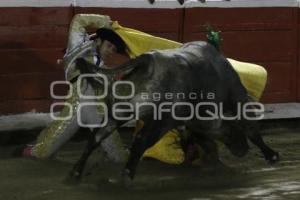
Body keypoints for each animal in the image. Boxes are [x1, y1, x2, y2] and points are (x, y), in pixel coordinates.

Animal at [68, 40, 278, 184]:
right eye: (232, 129)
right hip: (159, 122)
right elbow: (251, 130)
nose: (242, 150)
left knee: (97, 136)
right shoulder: (236, 103)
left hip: (119, 113)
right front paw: (272, 156)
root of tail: (147, 61)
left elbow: (203, 142)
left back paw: (75, 174)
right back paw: (125, 178)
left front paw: (210, 164)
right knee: (140, 141)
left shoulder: (192, 123)